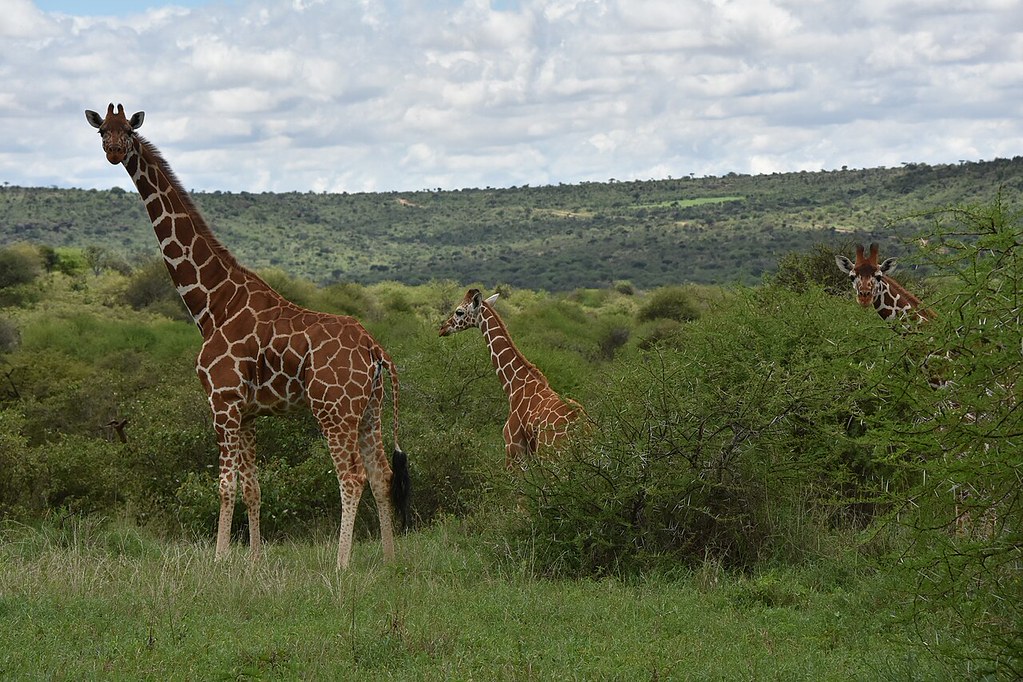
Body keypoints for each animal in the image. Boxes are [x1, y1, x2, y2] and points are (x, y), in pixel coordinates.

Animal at [85, 104, 410, 568]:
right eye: (102, 132)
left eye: (128, 130)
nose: (113, 152)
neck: (211, 303)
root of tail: (375, 348)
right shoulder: (249, 411)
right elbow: (253, 487)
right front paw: (254, 561)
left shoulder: (221, 401)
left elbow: (225, 486)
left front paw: (219, 560)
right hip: (369, 408)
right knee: (382, 474)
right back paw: (389, 560)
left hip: (334, 409)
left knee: (352, 476)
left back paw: (341, 564)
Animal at [439, 288, 584, 469]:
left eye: (459, 312)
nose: (442, 328)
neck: (515, 385)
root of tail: (581, 428)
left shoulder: (513, 448)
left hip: (552, 456)